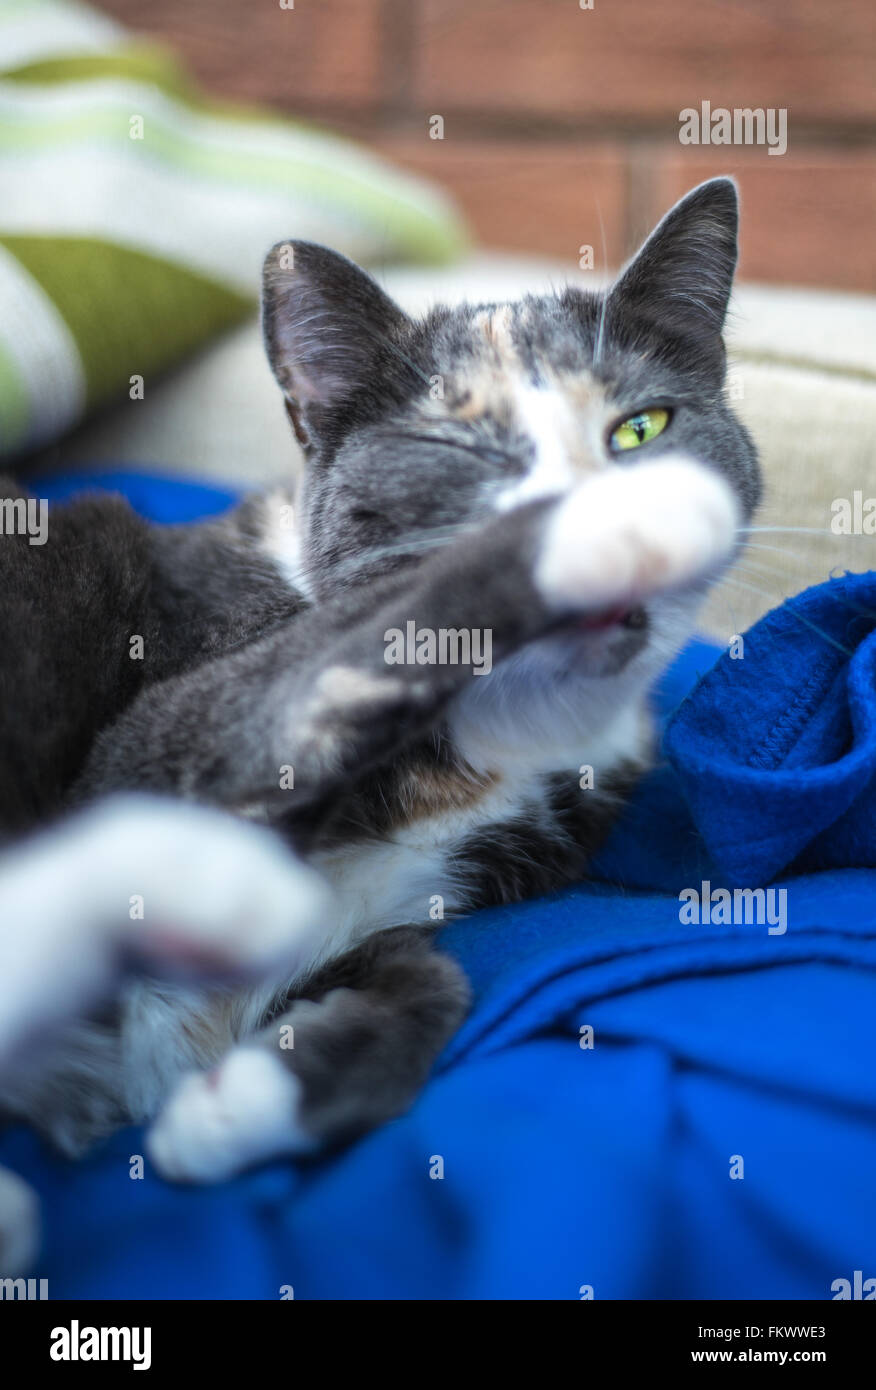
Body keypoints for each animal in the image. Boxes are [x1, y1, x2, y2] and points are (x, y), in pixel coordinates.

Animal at [0, 179, 756, 1267]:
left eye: (640, 429)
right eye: (460, 446)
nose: (609, 496)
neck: (507, 730)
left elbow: (430, 981)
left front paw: (237, 1105)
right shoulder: (161, 725)